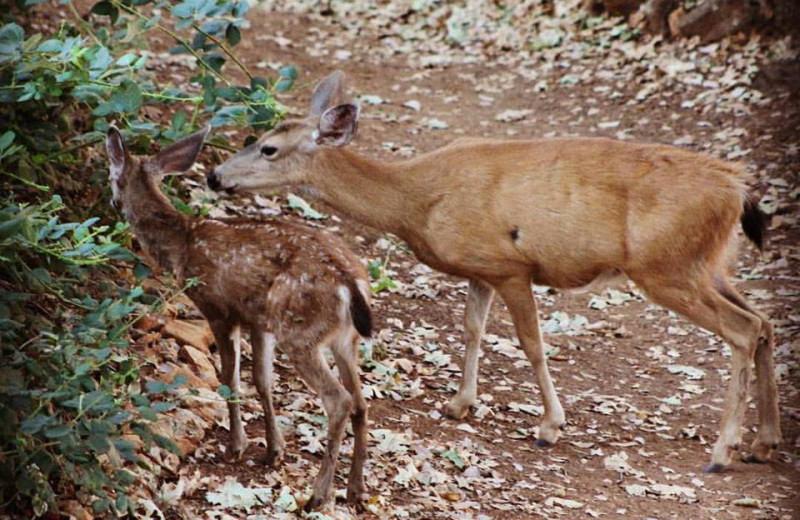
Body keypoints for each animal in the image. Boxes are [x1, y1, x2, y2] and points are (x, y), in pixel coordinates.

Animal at [104, 127, 374, 512]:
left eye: (112, 176)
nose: (113, 203)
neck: (182, 245)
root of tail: (352, 284)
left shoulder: (218, 309)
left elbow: (229, 378)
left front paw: (236, 447)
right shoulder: (259, 321)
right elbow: (262, 381)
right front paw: (274, 451)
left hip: (299, 330)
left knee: (339, 400)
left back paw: (318, 495)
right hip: (341, 338)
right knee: (361, 402)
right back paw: (356, 490)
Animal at [206, 71, 780, 474]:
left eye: (268, 147)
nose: (214, 175)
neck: (417, 200)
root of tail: (736, 189)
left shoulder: (510, 266)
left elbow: (532, 343)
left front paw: (550, 425)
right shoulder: (478, 266)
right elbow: (472, 329)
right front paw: (460, 404)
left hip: (667, 266)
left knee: (743, 328)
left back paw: (723, 450)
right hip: (708, 263)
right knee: (766, 322)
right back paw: (765, 442)